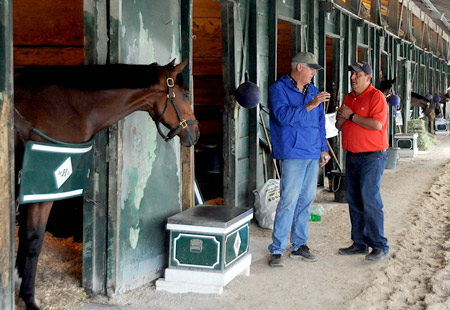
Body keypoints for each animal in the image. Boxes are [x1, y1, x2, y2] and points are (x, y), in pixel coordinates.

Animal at [13, 59, 200, 308]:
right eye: (186, 94)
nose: (195, 133)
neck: (69, 107)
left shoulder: (29, 190)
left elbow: (24, 236)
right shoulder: (44, 191)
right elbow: (34, 241)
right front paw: (29, 299)